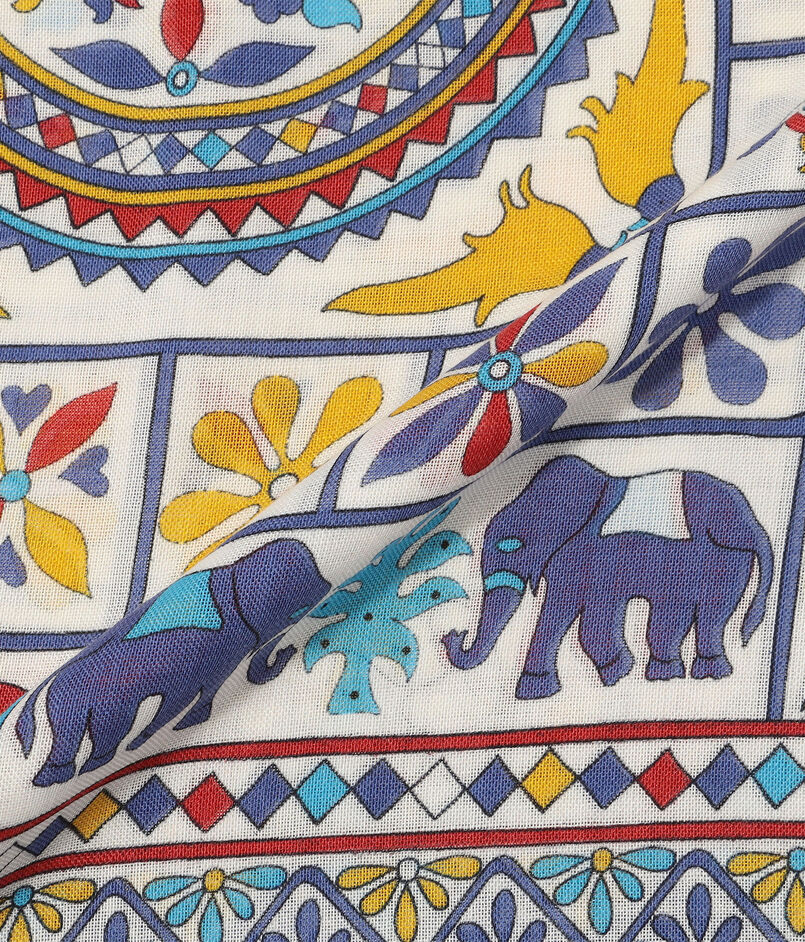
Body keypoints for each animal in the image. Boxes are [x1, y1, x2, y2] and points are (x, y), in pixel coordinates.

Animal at [16, 539, 329, 787]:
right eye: (297, 612)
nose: (291, 649)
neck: (235, 578)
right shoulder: (220, 650)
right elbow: (186, 696)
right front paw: (158, 735)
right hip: (105, 701)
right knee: (108, 735)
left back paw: (51, 779)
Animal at [443, 456, 773, 699]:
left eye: (511, 545)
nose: (453, 635)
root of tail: (750, 520)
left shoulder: (586, 556)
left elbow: (572, 615)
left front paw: (614, 673)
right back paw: (678, 674)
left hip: (716, 557)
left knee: (701, 611)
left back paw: (688, 674)